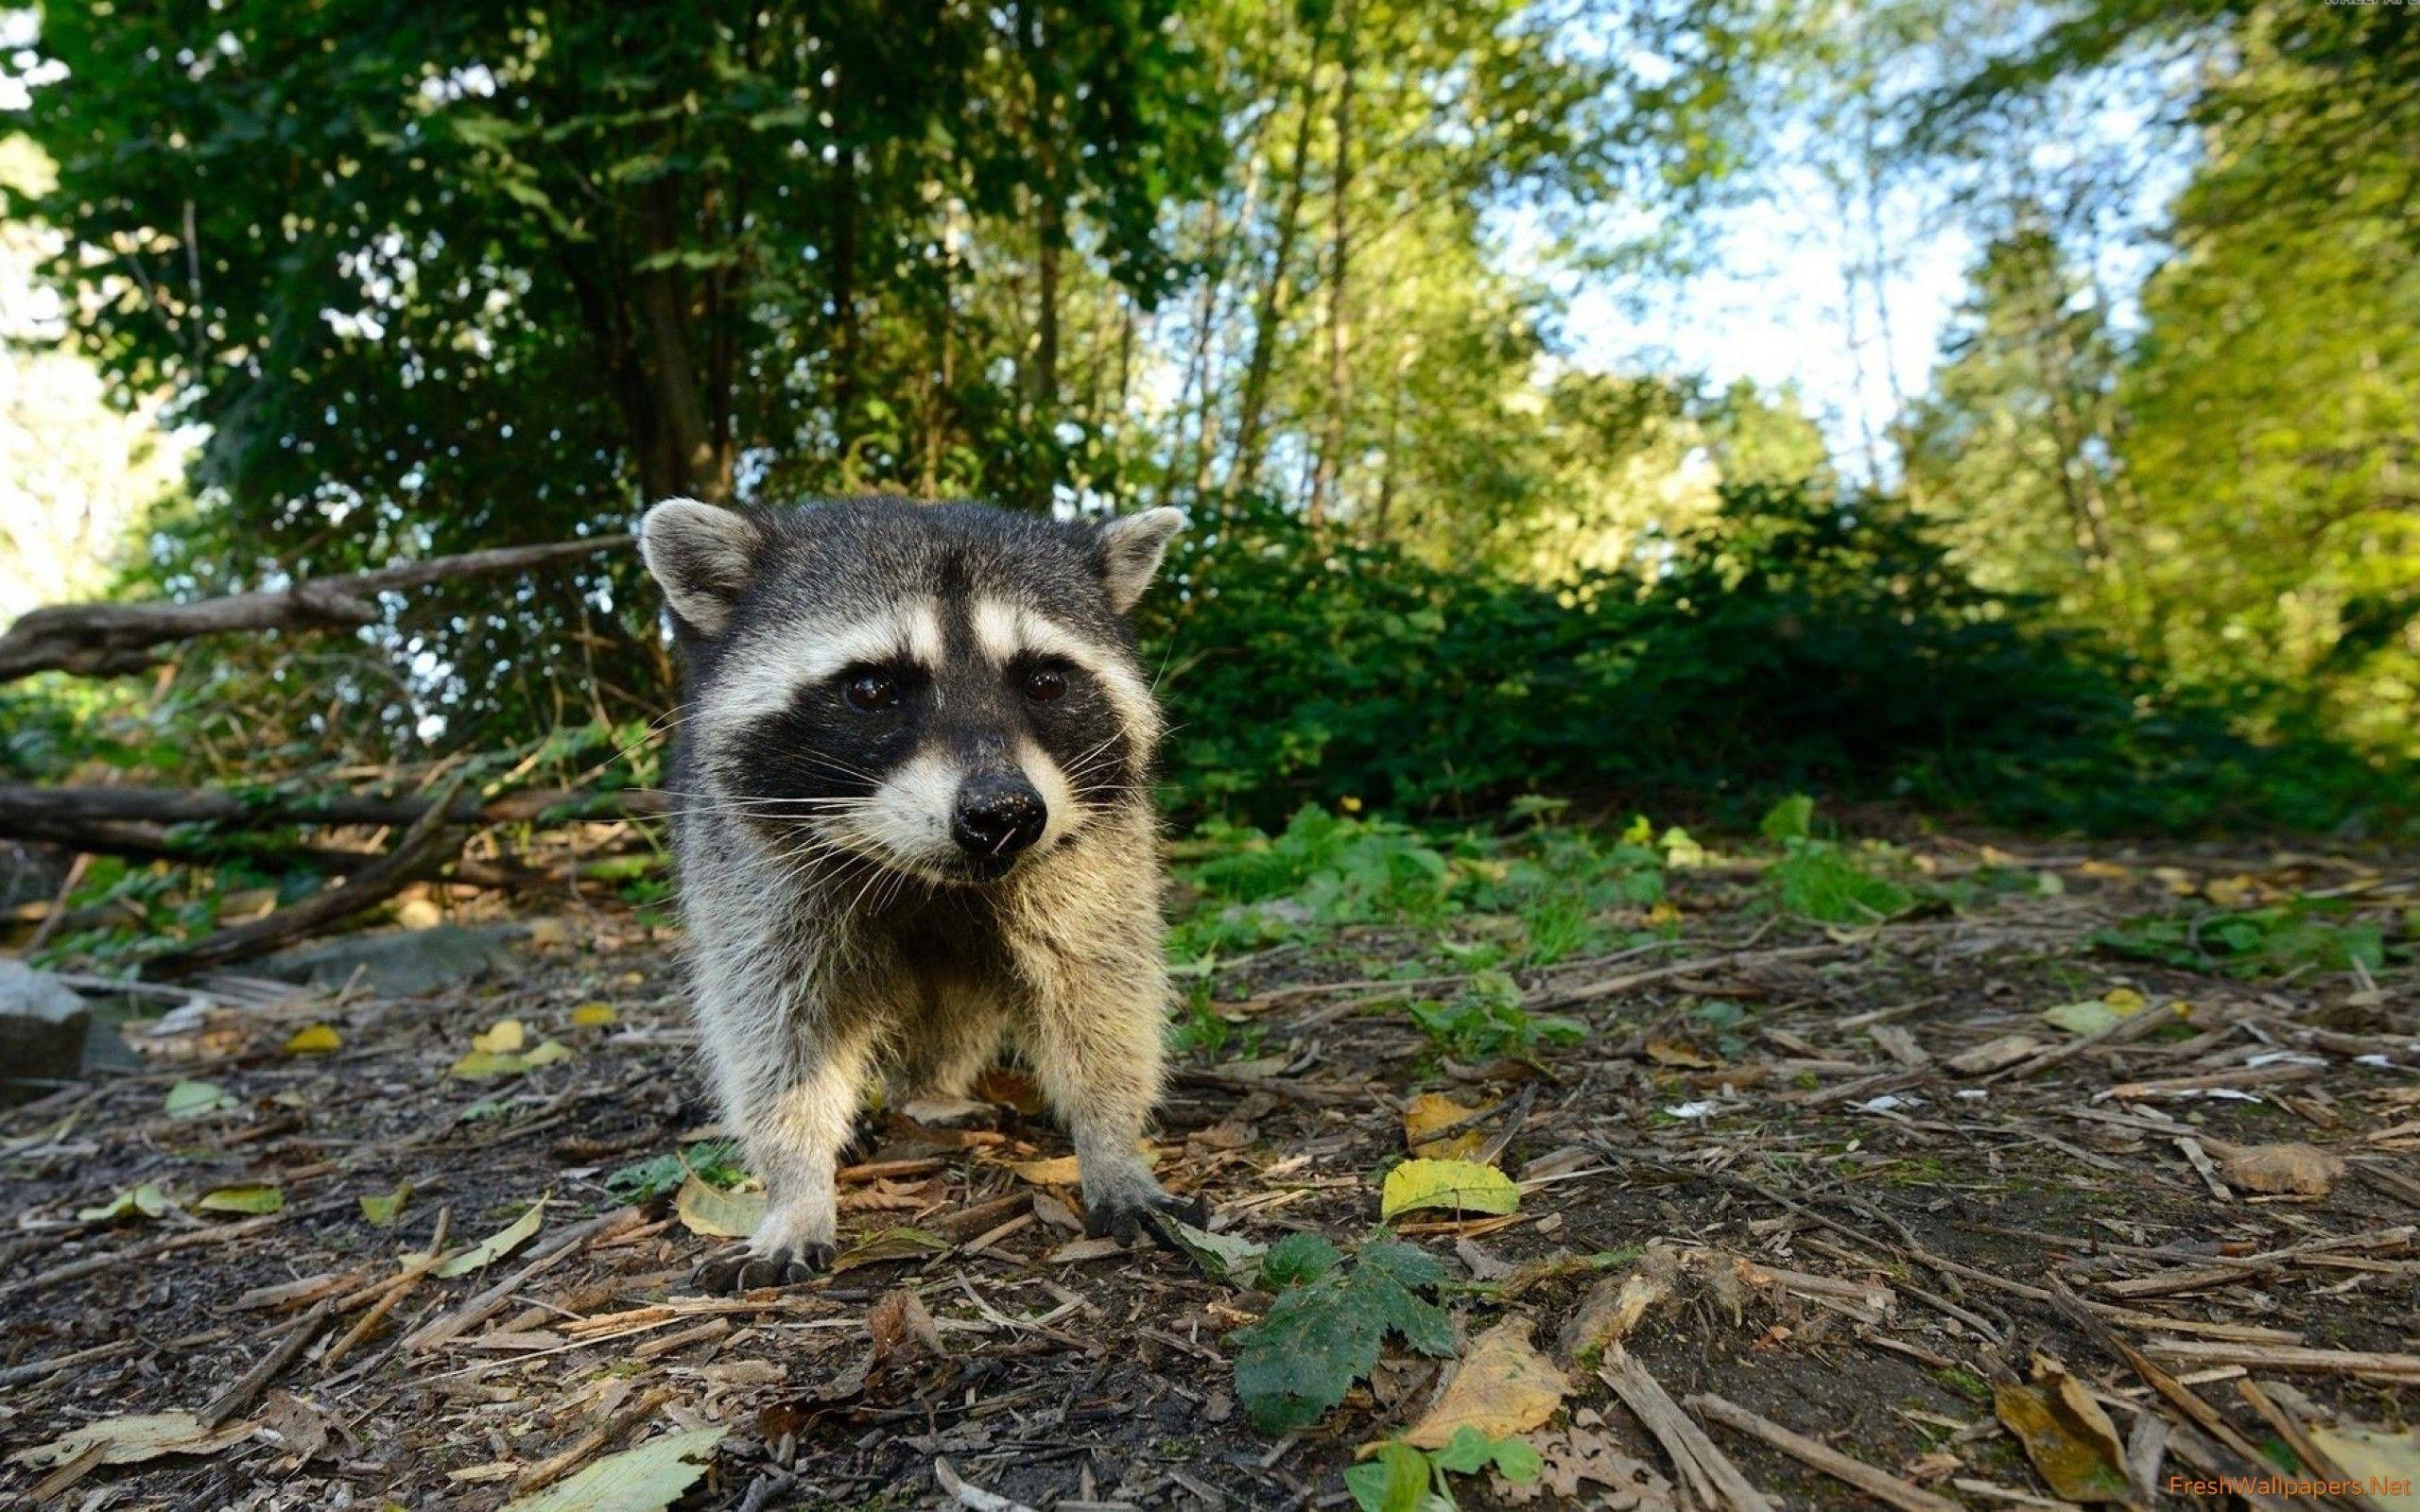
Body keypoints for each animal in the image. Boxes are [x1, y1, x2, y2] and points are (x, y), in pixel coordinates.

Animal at [638, 495, 1195, 1286]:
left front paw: (1113, 1144)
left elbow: (1100, 989)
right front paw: (795, 1182)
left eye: (1045, 681)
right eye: (873, 689)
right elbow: (774, 1025)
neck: (925, 875)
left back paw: (932, 1089)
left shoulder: (1096, 853)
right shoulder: (750, 868)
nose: (1004, 813)